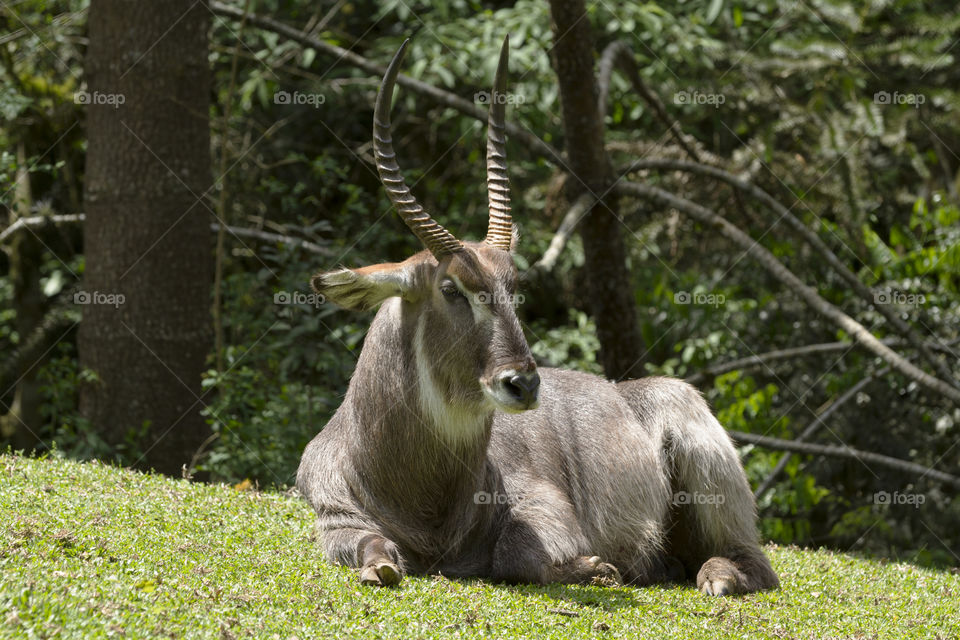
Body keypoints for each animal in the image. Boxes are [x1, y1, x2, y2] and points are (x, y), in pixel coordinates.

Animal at [298, 36, 780, 596]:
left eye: (515, 289)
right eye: (451, 288)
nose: (523, 384)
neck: (425, 505)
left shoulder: (546, 510)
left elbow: (516, 554)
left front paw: (599, 568)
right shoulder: (335, 520)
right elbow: (372, 552)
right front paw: (380, 565)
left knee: (754, 562)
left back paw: (714, 576)